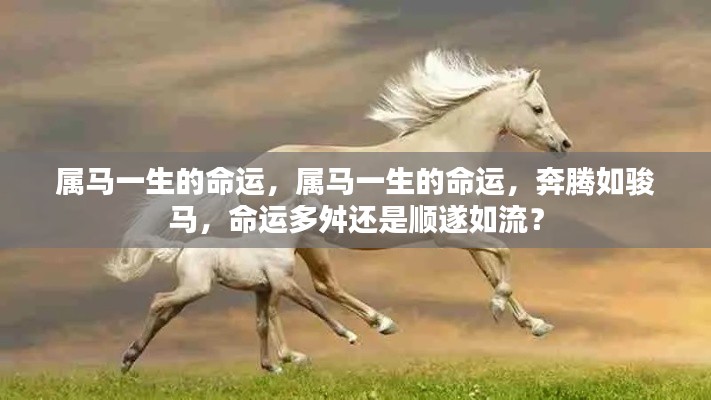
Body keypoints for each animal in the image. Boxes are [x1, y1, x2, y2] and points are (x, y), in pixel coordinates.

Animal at [109, 194, 358, 373]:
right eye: (315, 209)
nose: (337, 228)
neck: (275, 241)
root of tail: (183, 248)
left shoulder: (263, 290)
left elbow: (262, 325)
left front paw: (271, 366)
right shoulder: (283, 284)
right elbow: (315, 306)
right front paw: (347, 337)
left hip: (188, 294)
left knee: (162, 316)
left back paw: (129, 359)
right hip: (195, 289)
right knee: (158, 300)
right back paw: (129, 358)